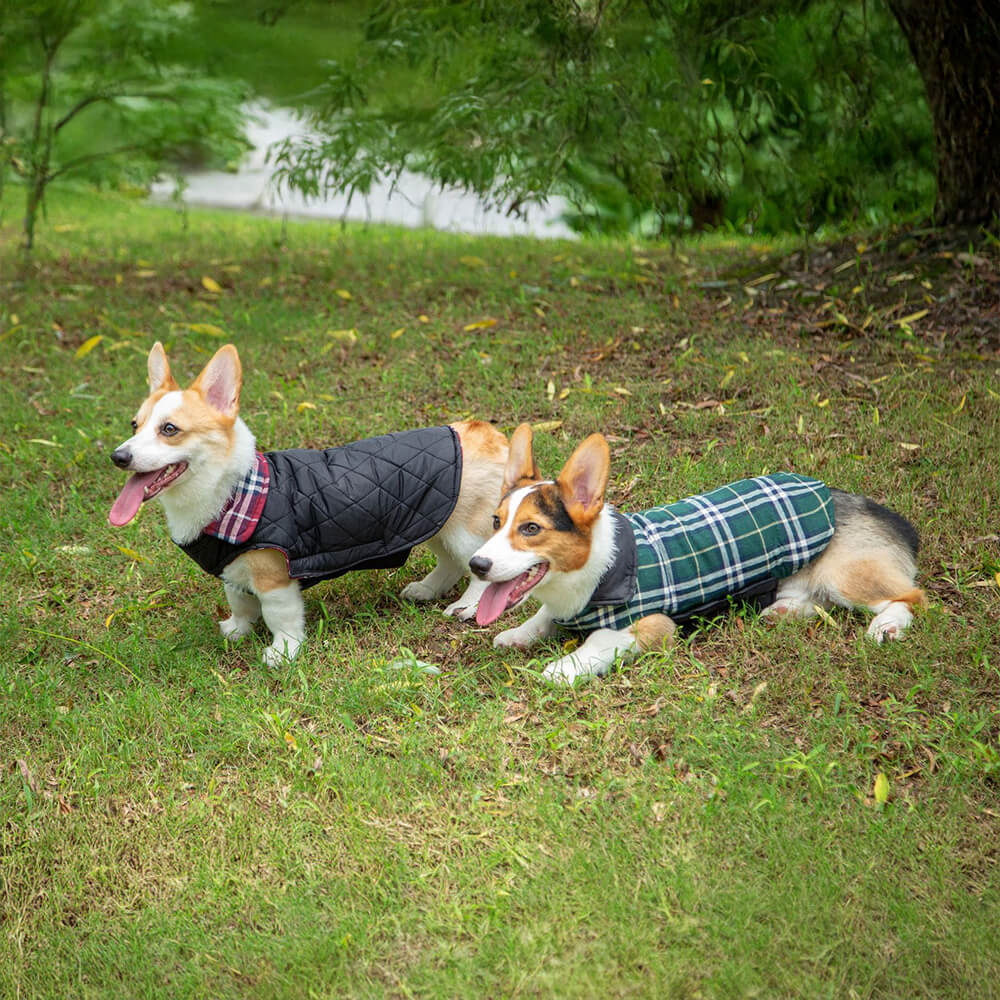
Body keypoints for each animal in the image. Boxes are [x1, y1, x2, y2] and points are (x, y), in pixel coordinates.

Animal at [109, 344, 508, 664]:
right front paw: (237, 630)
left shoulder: (274, 574)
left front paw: (282, 652)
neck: (232, 489)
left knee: (476, 568)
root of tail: (488, 434)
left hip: (462, 530)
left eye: (170, 429)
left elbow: (280, 617)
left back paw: (467, 606)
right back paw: (426, 589)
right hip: (434, 521)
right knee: (450, 563)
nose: (118, 457)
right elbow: (239, 604)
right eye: (134, 425)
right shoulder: (233, 570)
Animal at [464, 426, 924, 684]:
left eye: (531, 529)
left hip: (846, 574)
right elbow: (541, 618)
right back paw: (784, 612)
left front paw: (564, 668)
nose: (477, 565)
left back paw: (887, 627)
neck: (600, 567)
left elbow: (598, 639)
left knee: (911, 597)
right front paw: (517, 634)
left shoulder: (650, 626)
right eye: (495, 522)